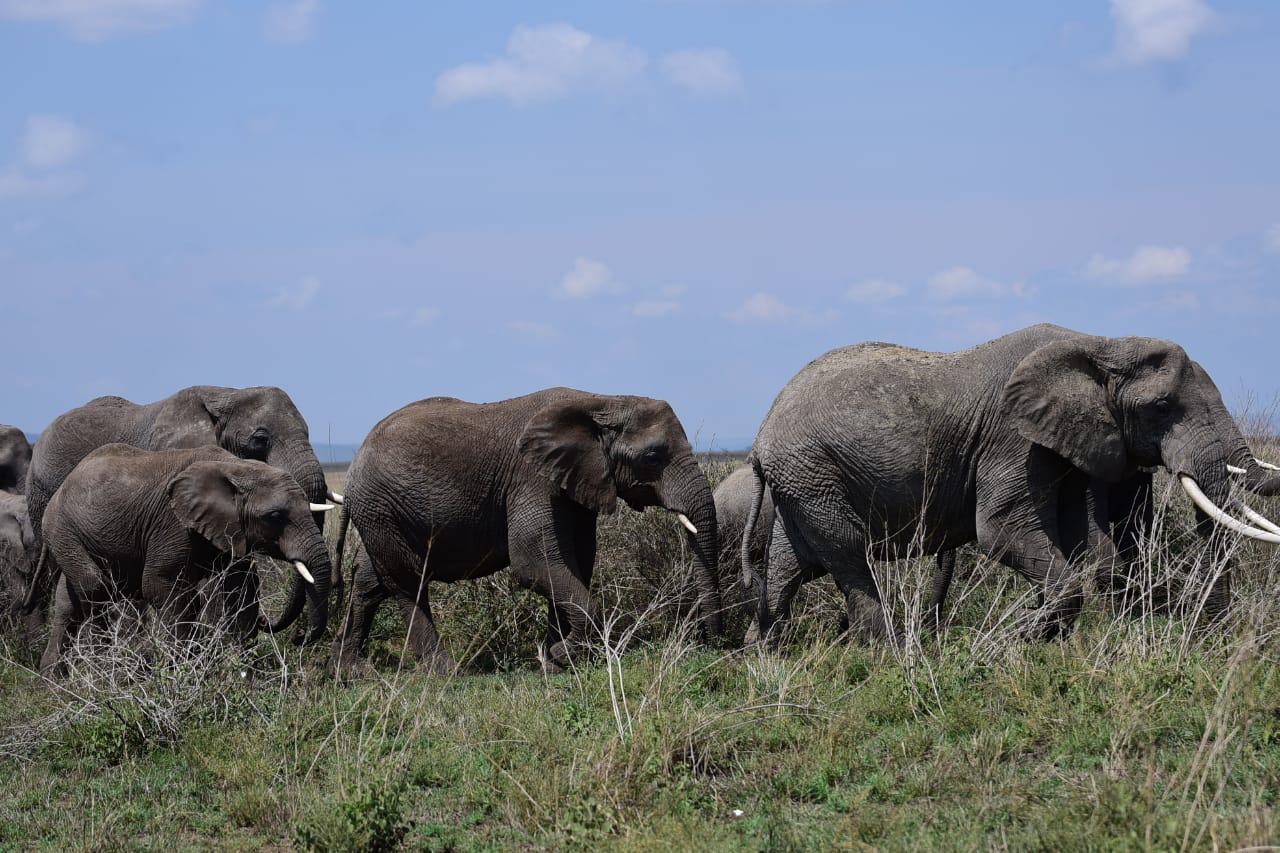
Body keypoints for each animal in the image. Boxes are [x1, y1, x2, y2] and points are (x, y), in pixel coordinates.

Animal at [38, 444, 335, 677]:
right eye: (274, 516)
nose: (298, 637)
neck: (235, 467)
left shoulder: (229, 529)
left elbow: (241, 589)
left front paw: (244, 672)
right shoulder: (171, 523)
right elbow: (162, 586)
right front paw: (183, 671)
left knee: (68, 604)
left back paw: (55, 684)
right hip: (61, 528)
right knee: (96, 589)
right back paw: (101, 670)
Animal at [330, 387, 722, 675]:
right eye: (653, 457)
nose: (712, 645)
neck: (603, 401)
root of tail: (353, 466)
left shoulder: (576, 483)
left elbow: (576, 561)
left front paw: (557, 662)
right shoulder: (531, 478)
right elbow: (533, 561)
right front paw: (563, 655)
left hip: (380, 513)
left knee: (370, 580)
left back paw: (351, 671)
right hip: (382, 506)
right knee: (408, 580)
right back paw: (444, 671)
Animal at [744, 323, 1280, 644]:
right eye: (1162, 407)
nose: (1215, 633)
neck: (1097, 343)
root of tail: (760, 434)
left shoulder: (1063, 446)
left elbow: (1078, 540)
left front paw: (1036, 635)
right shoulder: (1012, 440)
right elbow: (1001, 531)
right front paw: (1023, 637)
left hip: (804, 482)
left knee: (792, 564)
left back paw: (768, 652)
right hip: (812, 474)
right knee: (850, 553)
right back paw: (888, 652)